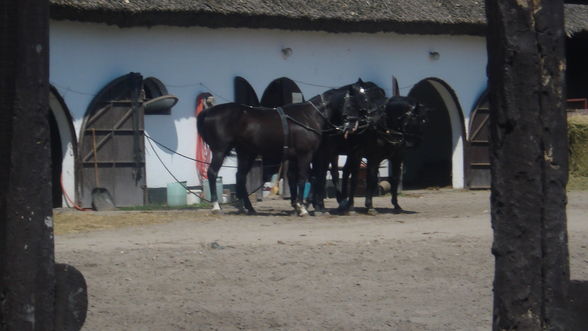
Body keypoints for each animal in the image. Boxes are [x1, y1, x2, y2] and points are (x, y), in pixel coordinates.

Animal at [195, 80, 378, 215]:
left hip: (246, 153)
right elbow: (303, 178)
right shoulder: (306, 155)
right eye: (358, 100)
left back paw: (249, 208)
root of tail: (209, 112)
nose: (354, 125)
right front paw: (303, 208)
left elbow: (301, 179)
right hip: (220, 150)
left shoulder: (296, 157)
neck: (309, 117)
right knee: (212, 173)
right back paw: (216, 206)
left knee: (240, 177)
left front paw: (299, 205)